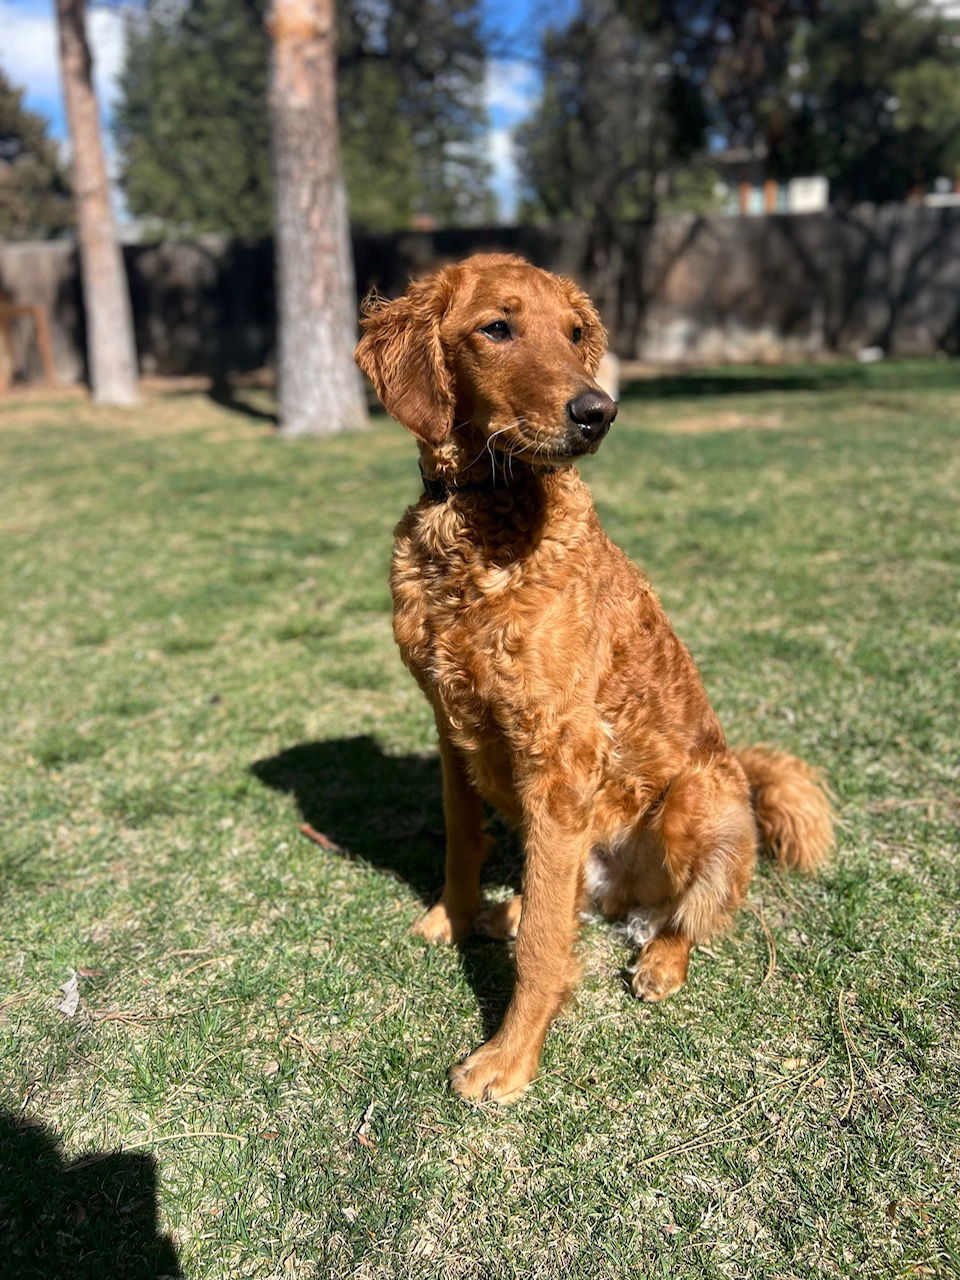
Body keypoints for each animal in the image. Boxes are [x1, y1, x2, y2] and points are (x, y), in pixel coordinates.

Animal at [353, 254, 834, 1105]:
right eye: (497, 327)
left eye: (576, 334)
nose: (598, 412)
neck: (483, 519)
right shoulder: (450, 723)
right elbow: (463, 842)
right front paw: (455, 918)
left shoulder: (562, 752)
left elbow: (548, 947)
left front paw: (509, 1058)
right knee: (575, 895)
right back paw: (512, 910)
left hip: (699, 795)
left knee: (688, 914)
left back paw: (658, 961)